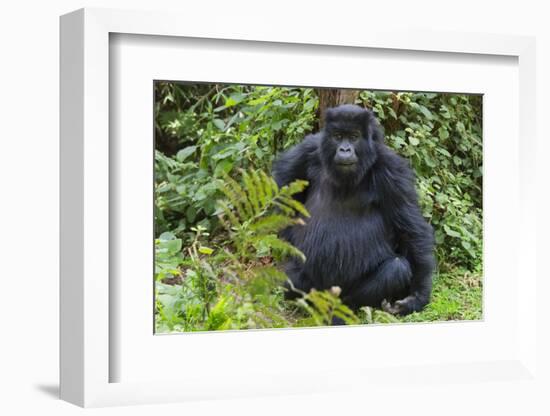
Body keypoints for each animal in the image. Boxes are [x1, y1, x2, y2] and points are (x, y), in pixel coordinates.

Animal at [274, 105, 438, 316]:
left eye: (354, 136)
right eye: (337, 136)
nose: (345, 149)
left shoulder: (393, 169)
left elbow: (412, 230)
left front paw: (417, 297)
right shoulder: (307, 150)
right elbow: (281, 191)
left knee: (396, 267)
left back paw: (346, 307)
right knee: (293, 277)